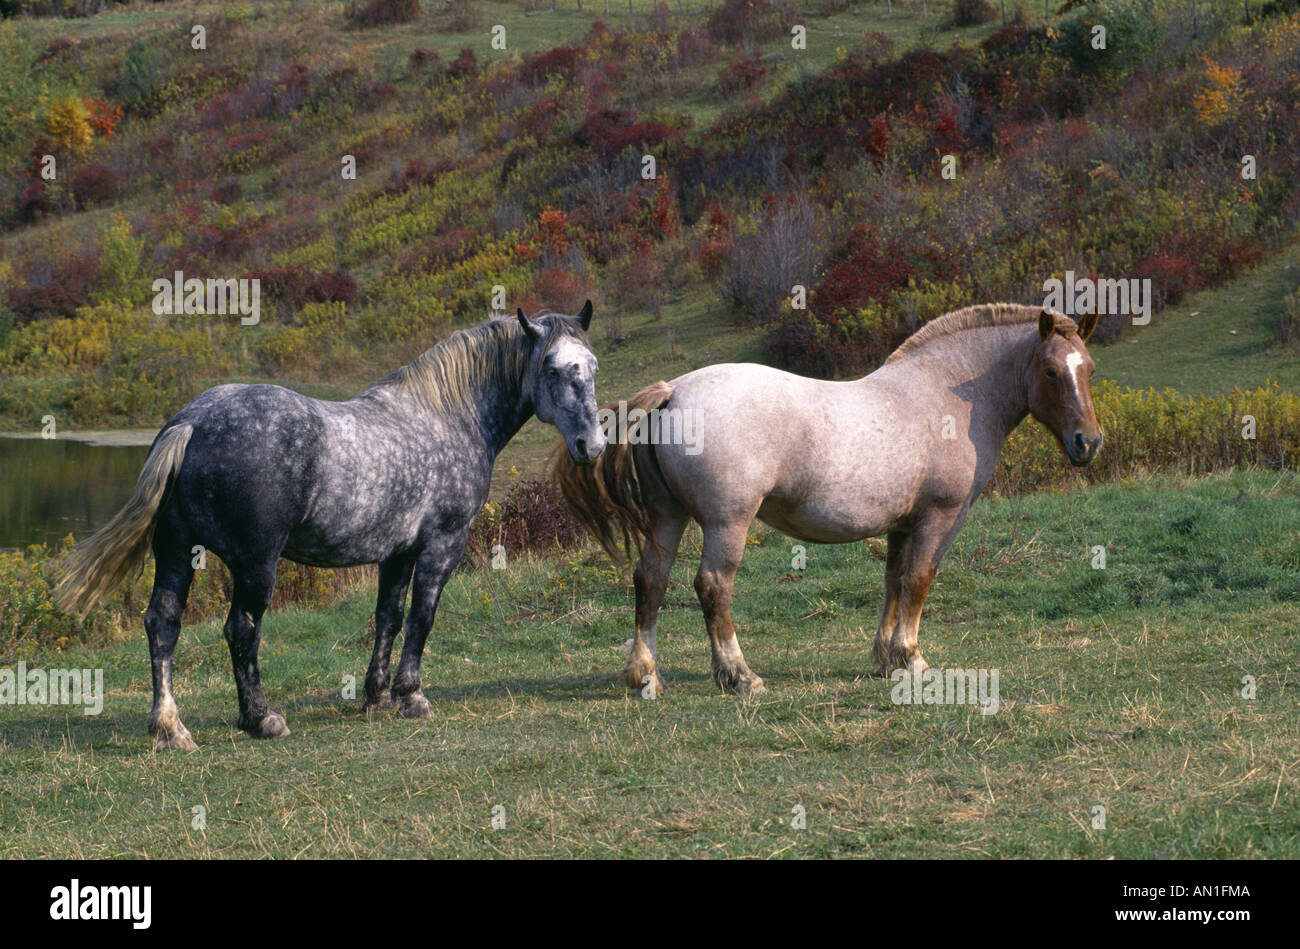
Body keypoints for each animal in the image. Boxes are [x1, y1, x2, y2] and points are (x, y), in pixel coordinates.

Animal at [56, 305, 606, 750]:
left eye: (593, 366)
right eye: (554, 368)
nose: (592, 445)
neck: (449, 415)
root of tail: (192, 422)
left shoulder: (397, 553)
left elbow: (388, 617)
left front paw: (377, 696)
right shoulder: (442, 545)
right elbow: (422, 617)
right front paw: (411, 696)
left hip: (176, 552)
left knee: (162, 625)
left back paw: (170, 728)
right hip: (255, 564)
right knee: (241, 630)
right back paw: (261, 719)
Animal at [555, 304, 1102, 695]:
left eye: (1089, 369)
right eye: (1051, 371)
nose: (1088, 443)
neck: (944, 396)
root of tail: (674, 391)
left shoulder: (902, 523)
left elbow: (893, 583)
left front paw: (886, 659)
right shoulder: (940, 518)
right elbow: (920, 581)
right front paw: (913, 659)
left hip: (667, 519)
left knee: (651, 581)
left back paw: (645, 674)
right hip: (727, 523)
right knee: (712, 586)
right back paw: (739, 675)